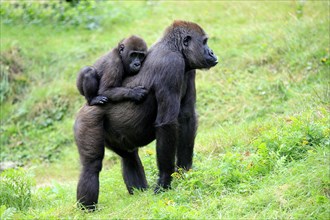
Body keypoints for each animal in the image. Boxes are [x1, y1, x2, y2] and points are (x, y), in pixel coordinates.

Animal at [75, 19, 219, 209]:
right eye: (204, 42)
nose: (212, 52)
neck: (175, 48)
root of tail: (87, 103)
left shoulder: (189, 70)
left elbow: (187, 117)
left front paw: (185, 171)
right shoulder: (172, 65)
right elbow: (167, 123)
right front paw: (165, 180)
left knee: (129, 156)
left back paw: (139, 192)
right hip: (88, 117)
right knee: (91, 165)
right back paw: (87, 208)